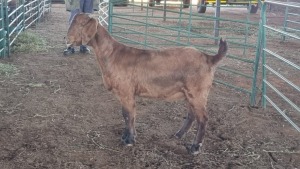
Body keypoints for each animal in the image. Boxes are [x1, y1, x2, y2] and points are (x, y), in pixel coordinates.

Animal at [65, 13, 229, 155]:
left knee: (203, 118)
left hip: (197, 92)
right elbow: (125, 114)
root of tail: (209, 58)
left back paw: (195, 147)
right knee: (191, 115)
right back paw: (177, 135)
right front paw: (126, 136)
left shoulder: (126, 91)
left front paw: (129, 140)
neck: (112, 54)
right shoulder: (123, 94)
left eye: (80, 23)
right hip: (190, 94)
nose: (66, 39)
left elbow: (129, 115)